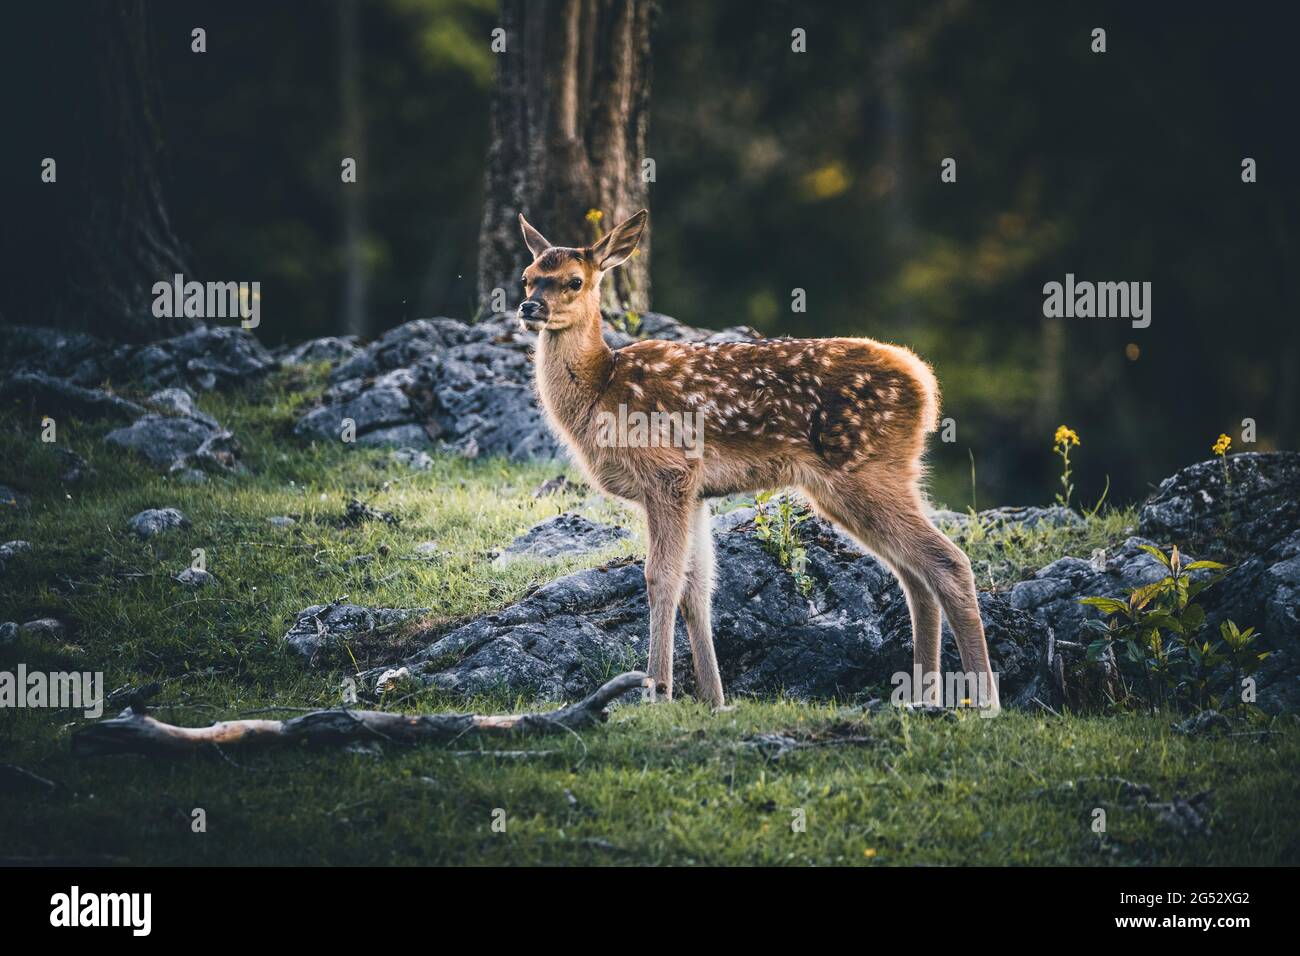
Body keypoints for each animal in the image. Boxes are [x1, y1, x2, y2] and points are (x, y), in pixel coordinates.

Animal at [517, 209, 1000, 713]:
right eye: (527, 277)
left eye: (574, 281)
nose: (530, 308)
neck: (600, 389)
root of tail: (925, 383)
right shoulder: (696, 492)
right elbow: (698, 588)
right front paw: (714, 700)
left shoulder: (667, 473)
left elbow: (661, 578)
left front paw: (657, 692)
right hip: (868, 479)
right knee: (915, 575)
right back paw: (919, 699)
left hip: (866, 469)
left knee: (947, 562)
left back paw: (984, 702)